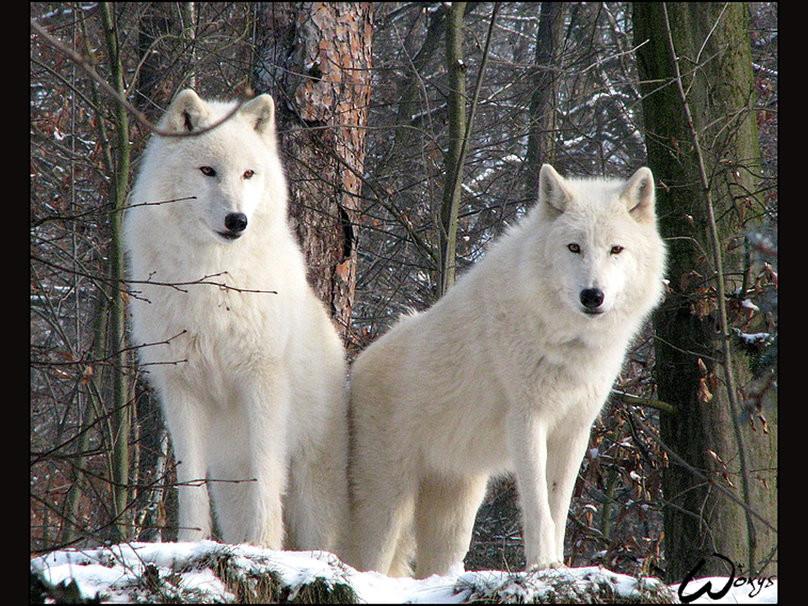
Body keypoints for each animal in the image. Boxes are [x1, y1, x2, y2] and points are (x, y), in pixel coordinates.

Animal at [124, 89, 348, 556]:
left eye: (248, 173)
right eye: (208, 171)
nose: (237, 221)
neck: (212, 280)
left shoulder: (261, 379)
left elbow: (266, 474)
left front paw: (262, 545)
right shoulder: (180, 389)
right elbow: (189, 482)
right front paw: (190, 543)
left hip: (315, 493)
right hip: (229, 481)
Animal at [350, 164, 664, 576]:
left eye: (616, 249)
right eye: (574, 247)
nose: (592, 296)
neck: (566, 342)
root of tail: (355, 368)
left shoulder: (574, 431)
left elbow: (558, 507)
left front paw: (558, 565)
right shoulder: (527, 421)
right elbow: (538, 507)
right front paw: (542, 564)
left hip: (456, 515)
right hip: (389, 509)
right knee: (366, 561)